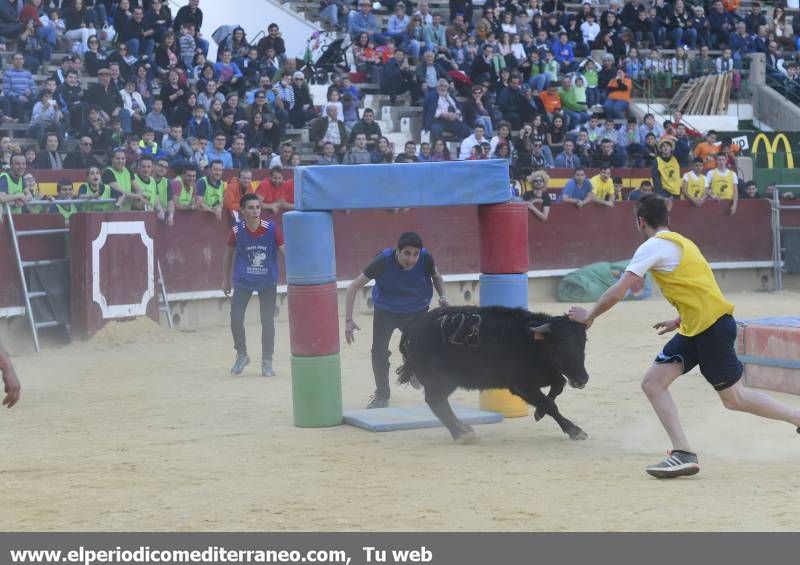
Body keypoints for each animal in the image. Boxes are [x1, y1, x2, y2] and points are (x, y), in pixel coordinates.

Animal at [396, 306, 592, 442]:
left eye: (584, 342)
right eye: (560, 343)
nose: (582, 379)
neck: (533, 342)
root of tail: (415, 323)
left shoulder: (545, 376)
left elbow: (557, 387)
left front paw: (538, 413)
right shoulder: (522, 385)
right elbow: (550, 404)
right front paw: (574, 430)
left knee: (440, 403)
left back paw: (464, 429)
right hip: (440, 380)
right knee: (436, 402)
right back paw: (462, 434)